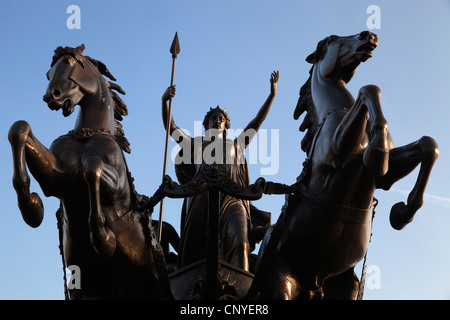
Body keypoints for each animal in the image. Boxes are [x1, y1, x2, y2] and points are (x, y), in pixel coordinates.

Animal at [10, 45, 174, 300]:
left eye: (68, 62)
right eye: (48, 74)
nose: (51, 96)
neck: (87, 134)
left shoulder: (115, 189)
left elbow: (92, 168)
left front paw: (104, 239)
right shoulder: (57, 179)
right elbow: (19, 128)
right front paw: (32, 208)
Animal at [251, 31, 438, 300]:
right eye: (331, 40)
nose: (368, 35)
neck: (336, 110)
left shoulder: (385, 177)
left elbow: (428, 145)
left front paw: (402, 213)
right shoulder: (337, 154)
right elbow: (368, 89)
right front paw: (377, 151)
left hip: (345, 285)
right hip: (281, 276)